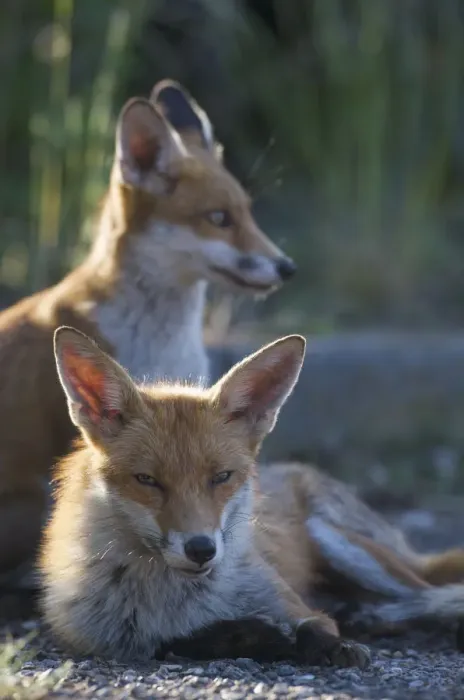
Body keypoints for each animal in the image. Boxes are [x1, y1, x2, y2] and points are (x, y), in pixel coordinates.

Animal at [40, 327, 371, 667]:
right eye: (147, 480)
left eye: (221, 477)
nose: (201, 549)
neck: (178, 598)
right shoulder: (115, 640)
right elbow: (186, 640)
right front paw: (259, 636)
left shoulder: (294, 605)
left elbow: (315, 625)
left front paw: (335, 646)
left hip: (339, 542)